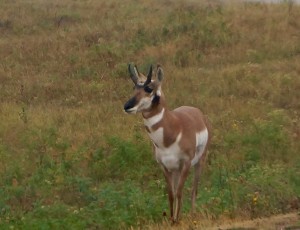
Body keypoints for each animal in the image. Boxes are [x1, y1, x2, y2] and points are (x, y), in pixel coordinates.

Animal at [122, 63, 211, 222]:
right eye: (134, 88)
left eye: (149, 88)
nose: (127, 106)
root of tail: (197, 112)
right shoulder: (164, 166)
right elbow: (171, 194)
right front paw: (172, 220)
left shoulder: (186, 163)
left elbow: (180, 192)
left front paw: (178, 219)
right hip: (175, 169)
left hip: (199, 162)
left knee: (194, 189)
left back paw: (193, 215)